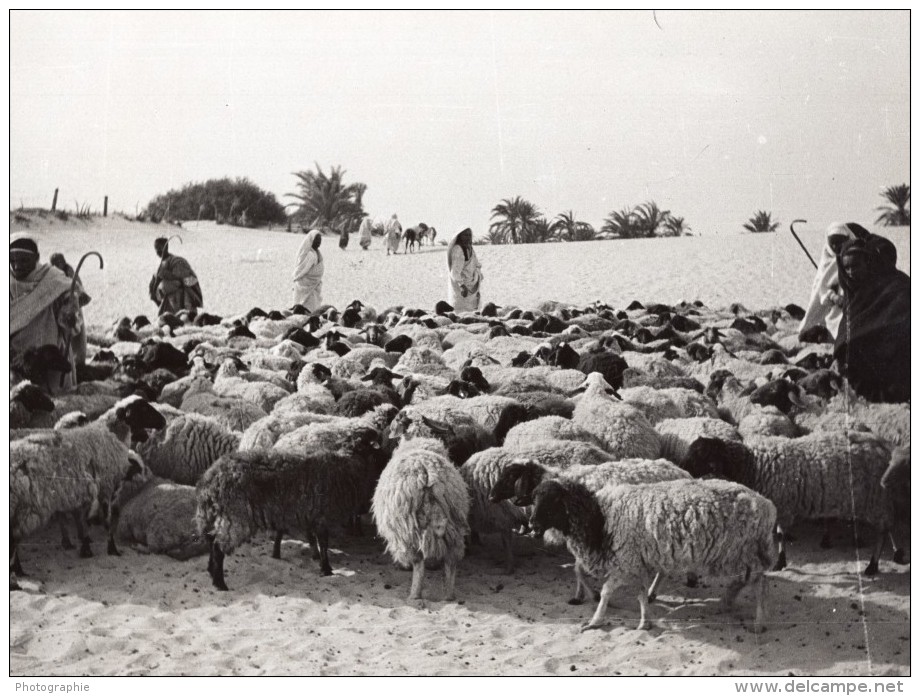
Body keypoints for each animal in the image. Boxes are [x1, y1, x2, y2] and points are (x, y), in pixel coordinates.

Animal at [9, 394, 165, 572]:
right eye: (143, 408)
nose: (163, 421)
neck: (111, 435)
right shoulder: (106, 486)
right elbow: (107, 521)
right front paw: (112, 549)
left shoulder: (85, 492)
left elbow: (83, 520)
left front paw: (85, 546)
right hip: (23, 507)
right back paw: (18, 570)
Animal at [196, 430, 386, 588]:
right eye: (376, 448)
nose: (386, 461)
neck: (349, 465)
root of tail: (210, 480)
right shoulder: (322, 517)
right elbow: (323, 544)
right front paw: (326, 569)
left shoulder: (309, 516)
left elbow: (312, 541)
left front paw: (316, 559)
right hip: (236, 518)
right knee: (218, 547)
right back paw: (220, 583)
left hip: (220, 517)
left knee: (211, 540)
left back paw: (211, 572)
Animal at [370, 438, 470, 600]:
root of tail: (426, 471)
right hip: (454, 524)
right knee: (451, 560)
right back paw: (449, 595)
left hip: (408, 529)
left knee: (418, 562)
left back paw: (414, 595)